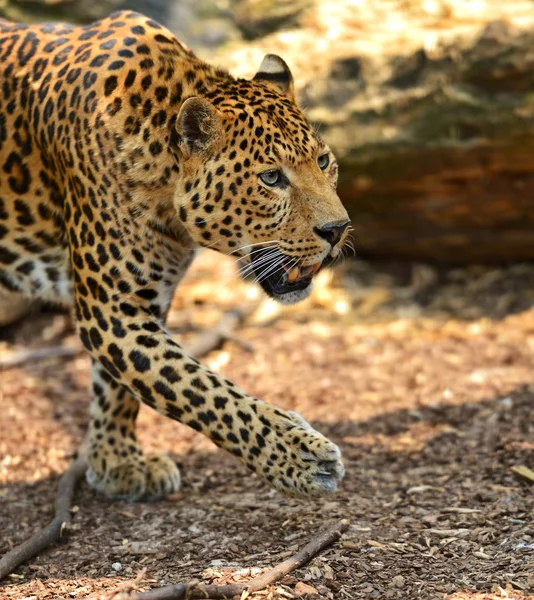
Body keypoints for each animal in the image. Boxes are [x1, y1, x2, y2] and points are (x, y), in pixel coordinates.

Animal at [1, 10, 352, 502]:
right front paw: (298, 457)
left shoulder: (144, 298)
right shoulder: (111, 309)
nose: (337, 229)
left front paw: (116, 462)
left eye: (323, 161)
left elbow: (119, 387)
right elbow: (198, 389)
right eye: (271, 178)